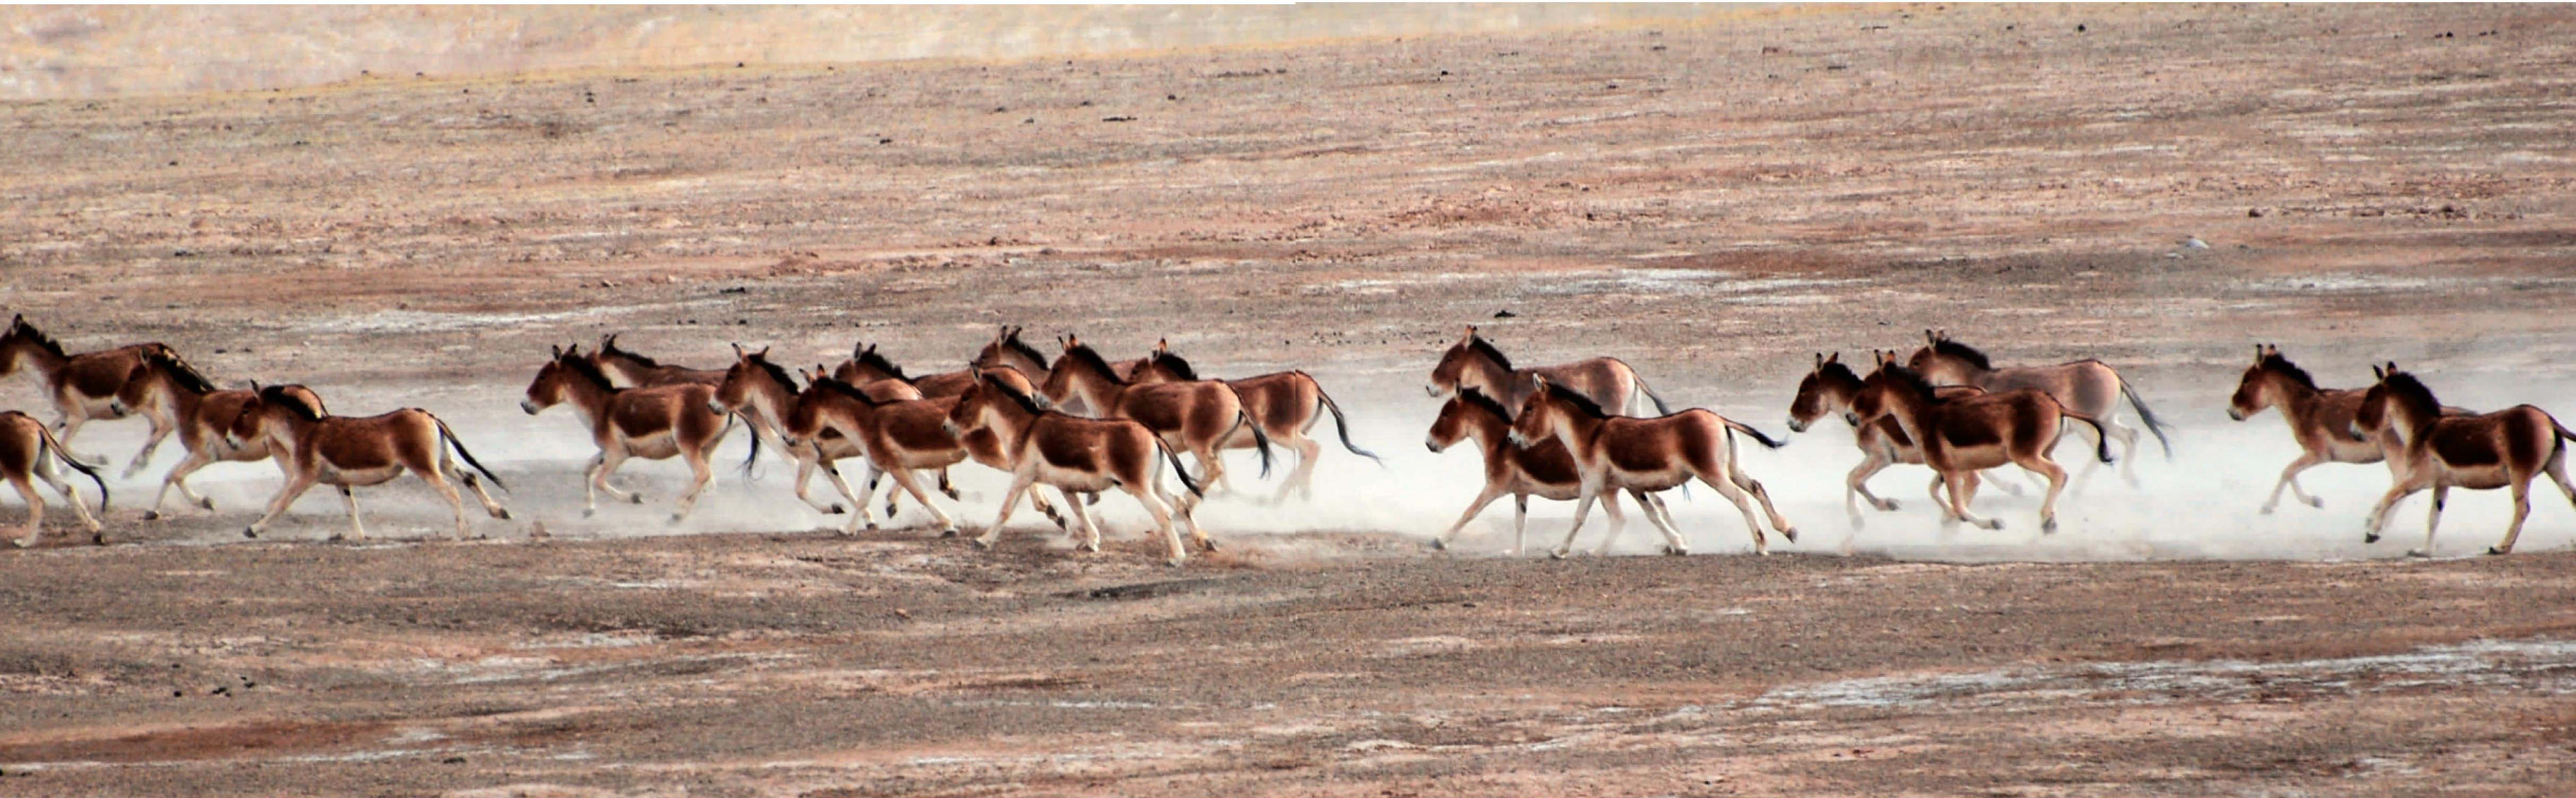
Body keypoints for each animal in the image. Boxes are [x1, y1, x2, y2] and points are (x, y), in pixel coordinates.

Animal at [1, 412, 107, 548]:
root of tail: (30, 420)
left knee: (36, 502)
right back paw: (96, 530)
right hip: (43, 468)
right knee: (67, 490)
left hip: (16, 473)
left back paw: (26, 542)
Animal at [1504, 378, 1793, 556]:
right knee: (1757, 487)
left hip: (1712, 473)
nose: (1511, 438)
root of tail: (1718, 418)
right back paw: (1788, 529)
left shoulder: (1592, 483)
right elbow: (1650, 515)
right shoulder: (1626, 486)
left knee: (1741, 498)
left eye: (1529, 408)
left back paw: (1761, 544)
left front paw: (1559, 551)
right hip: (1731, 468)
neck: (1590, 435)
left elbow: (1579, 516)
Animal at [2359, 360, 2576, 556]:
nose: (2357, 431)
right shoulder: (2442, 484)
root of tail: (2547, 418)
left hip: (2520, 474)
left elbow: (2389, 497)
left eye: (2370, 397)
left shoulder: (2421, 480)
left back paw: (2501, 548)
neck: (2423, 430)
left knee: (2523, 508)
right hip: (2555, 467)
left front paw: (2372, 532)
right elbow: (2434, 517)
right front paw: (2424, 551)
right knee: (2572, 497)